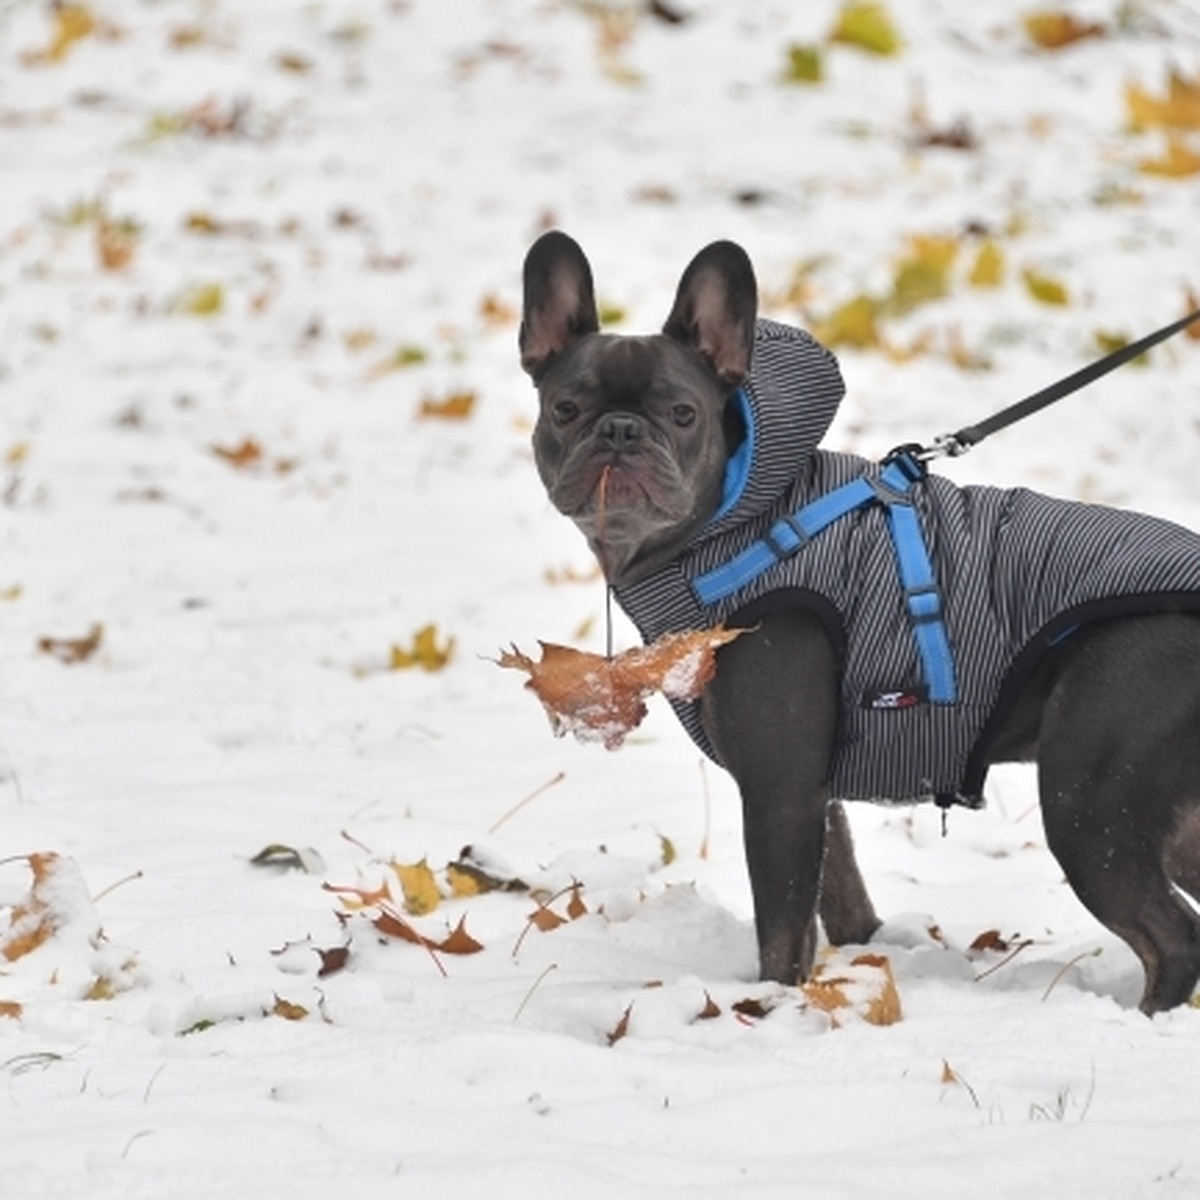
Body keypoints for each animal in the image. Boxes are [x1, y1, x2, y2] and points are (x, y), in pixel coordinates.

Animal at [520, 229, 1200, 1008]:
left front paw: (771, 1007)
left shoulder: (779, 790)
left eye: (684, 414)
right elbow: (838, 893)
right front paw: (862, 958)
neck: (736, 521)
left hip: (1090, 799)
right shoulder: (815, 791)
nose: (620, 431)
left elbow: (783, 924)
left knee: (1173, 937)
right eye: (565, 409)